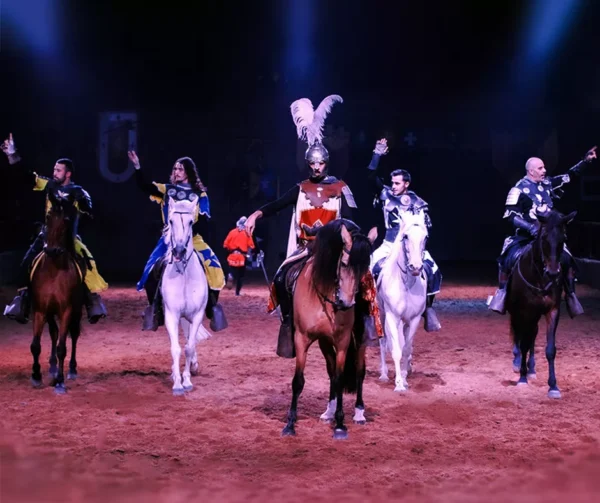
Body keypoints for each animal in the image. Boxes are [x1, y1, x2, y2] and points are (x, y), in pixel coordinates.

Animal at [29, 192, 84, 394]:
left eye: (66, 219)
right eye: (48, 217)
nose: (52, 250)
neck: (53, 271)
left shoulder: (66, 311)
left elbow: (62, 347)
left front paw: (59, 382)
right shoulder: (40, 310)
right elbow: (35, 345)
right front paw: (36, 376)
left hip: (76, 311)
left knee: (73, 335)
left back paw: (71, 370)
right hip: (50, 313)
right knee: (53, 333)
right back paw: (52, 367)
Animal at [282, 219, 376, 440]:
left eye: (365, 267)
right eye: (344, 263)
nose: (346, 303)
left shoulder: (343, 342)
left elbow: (342, 378)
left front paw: (341, 425)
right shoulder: (302, 338)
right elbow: (298, 381)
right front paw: (290, 424)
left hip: (359, 340)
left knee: (359, 371)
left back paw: (359, 413)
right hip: (324, 342)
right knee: (331, 371)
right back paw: (329, 412)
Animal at [378, 211, 428, 392]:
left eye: (425, 237)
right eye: (405, 236)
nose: (416, 267)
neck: (406, 283)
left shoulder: (414, 319)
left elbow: (406, 349)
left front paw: (405, 379)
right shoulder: (392, 317)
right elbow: (396, 350)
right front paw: (399, 384)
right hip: (381, 315)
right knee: (383, 342)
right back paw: (384, 374)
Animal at [506, 211, 576, 400]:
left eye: (564, 237)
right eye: (544, 237)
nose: (552, 272)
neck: (539, 277)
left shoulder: (552, 311)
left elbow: (550, 349)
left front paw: (553, 386)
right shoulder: (525, 311)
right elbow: (523, 343)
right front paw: (522, 378)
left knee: (531, 336)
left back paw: (531, 369)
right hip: (518, 313)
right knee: (519, 334)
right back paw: (519, 364)